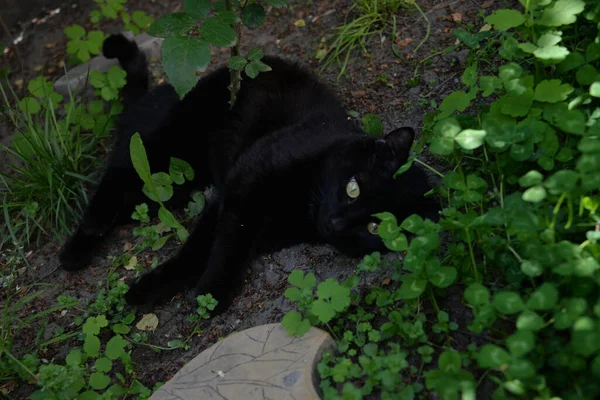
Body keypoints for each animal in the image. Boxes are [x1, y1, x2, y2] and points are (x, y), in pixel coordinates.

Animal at [58, 32, 438, 310]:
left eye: (375, 227)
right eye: (353, 187)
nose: (335, 223)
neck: (303, 204)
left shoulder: (250, 216)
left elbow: (217, 247)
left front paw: (200, 290)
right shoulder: (243, 185)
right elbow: (216, 244)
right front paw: (201, 292)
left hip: (170, 187)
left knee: (129, 196)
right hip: (168, 146)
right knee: (116, 175)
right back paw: (75, 249)